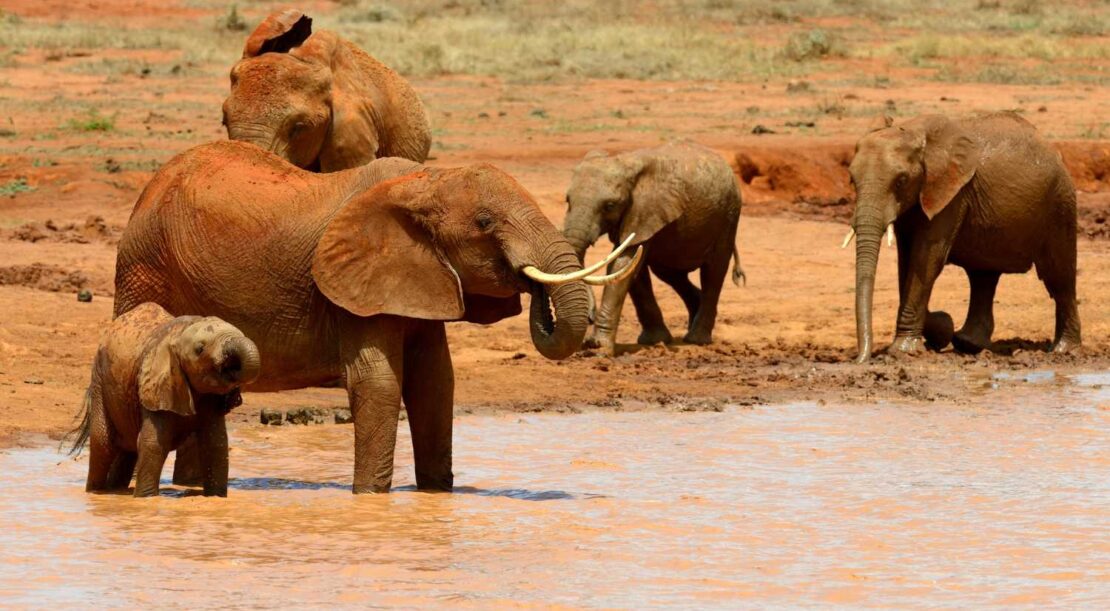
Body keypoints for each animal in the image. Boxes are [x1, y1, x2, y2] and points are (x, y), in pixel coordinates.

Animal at [67, 302, 261, 497]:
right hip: (99, 380)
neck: (180, 333)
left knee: (128, 449)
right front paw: (147, 499)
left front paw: (216, 497)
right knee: (103, 443)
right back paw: (95, 493)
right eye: (200, 349)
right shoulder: (156, 387)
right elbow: (153, 443)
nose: (231, 366)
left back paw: (116, 490)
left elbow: (216, 444)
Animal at [115, 141, 639, 495]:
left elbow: (435, 384)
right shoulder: (355, 287)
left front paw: (435, 494)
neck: (425, 182)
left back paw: (189, 489)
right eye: (485, 223)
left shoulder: (420, 280)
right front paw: (370, 498)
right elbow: (380, 383)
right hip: (144, 265)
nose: (531, 287)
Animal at [563, 141, 745, 357]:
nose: (590, 316)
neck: (626, 162)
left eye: (609, 206)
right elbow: (632, 269)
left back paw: (697, 339)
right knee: (670, 273)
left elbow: (623, 264)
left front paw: (598, 349)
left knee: (714, 271)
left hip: (729, 215)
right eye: (567, 200)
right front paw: (655, 341)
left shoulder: (645, 210)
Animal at [848, 113, 1074, 364]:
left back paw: (1064, 350)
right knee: (983, 277)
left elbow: (926, 259)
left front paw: (905, 350)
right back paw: (969, 343)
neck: (915, 132)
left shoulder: (952, 194)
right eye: (851, 180)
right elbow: (906, 262)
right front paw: (941, 329)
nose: (860, 360)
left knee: (1060, 279)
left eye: (901, 180)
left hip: (1060, 204)